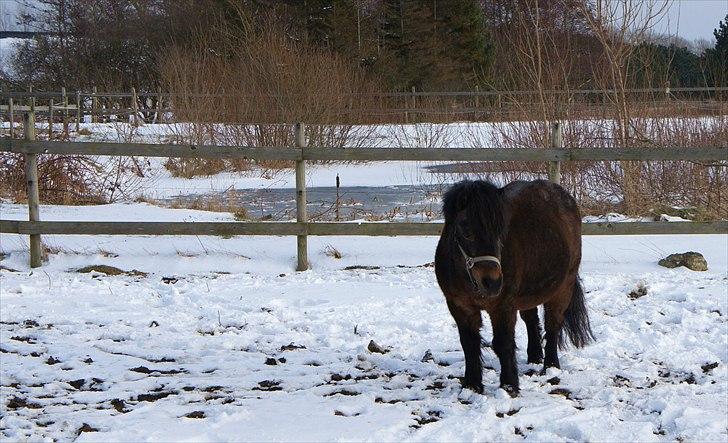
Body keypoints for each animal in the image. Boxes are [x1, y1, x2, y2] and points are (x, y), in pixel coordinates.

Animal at [436, 180, 596, 396]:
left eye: (500, 232)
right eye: (466, 231)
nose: (492, 282)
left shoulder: (503, 306)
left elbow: (503, 343)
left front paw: (509, 385)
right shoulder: (459, 306)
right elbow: (469, 343)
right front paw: (472, 385)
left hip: (564, 287)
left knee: (553, 325)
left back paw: (550, 366)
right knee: (531, 319)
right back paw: (535, 357)